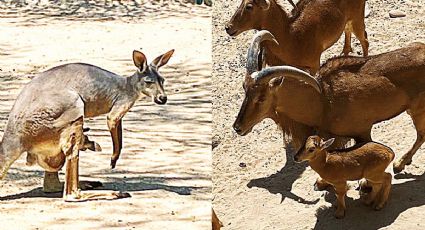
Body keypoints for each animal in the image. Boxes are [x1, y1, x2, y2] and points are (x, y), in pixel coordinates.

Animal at [225, 0, 368, 73]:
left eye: (249, 6)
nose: (228, 27)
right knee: (347, 30)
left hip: (357, 16)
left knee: (364, 40)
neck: (292, 37)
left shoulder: (314, 64)